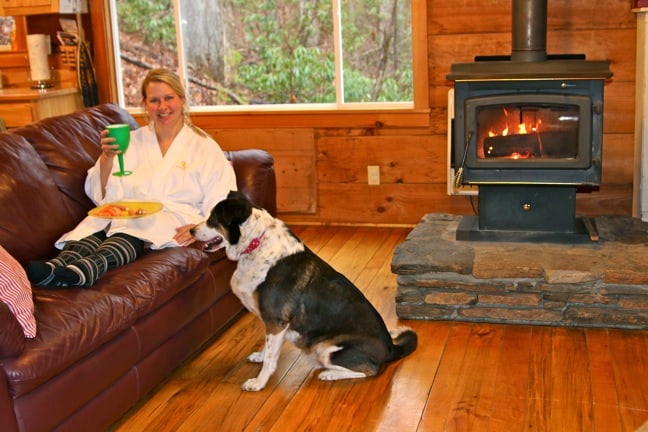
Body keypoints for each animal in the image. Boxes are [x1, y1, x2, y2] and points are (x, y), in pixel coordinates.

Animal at [190, 192, 418, 392]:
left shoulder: (276, 320)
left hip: (328, 349)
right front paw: (260, 357)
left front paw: (258, 383)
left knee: (369, 370)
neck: (256, 243)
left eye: (212, 219)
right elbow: (268, 347)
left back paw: (329, 374)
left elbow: (271, 360)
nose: (191, 231)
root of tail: (391, 348)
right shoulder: (272, 324)